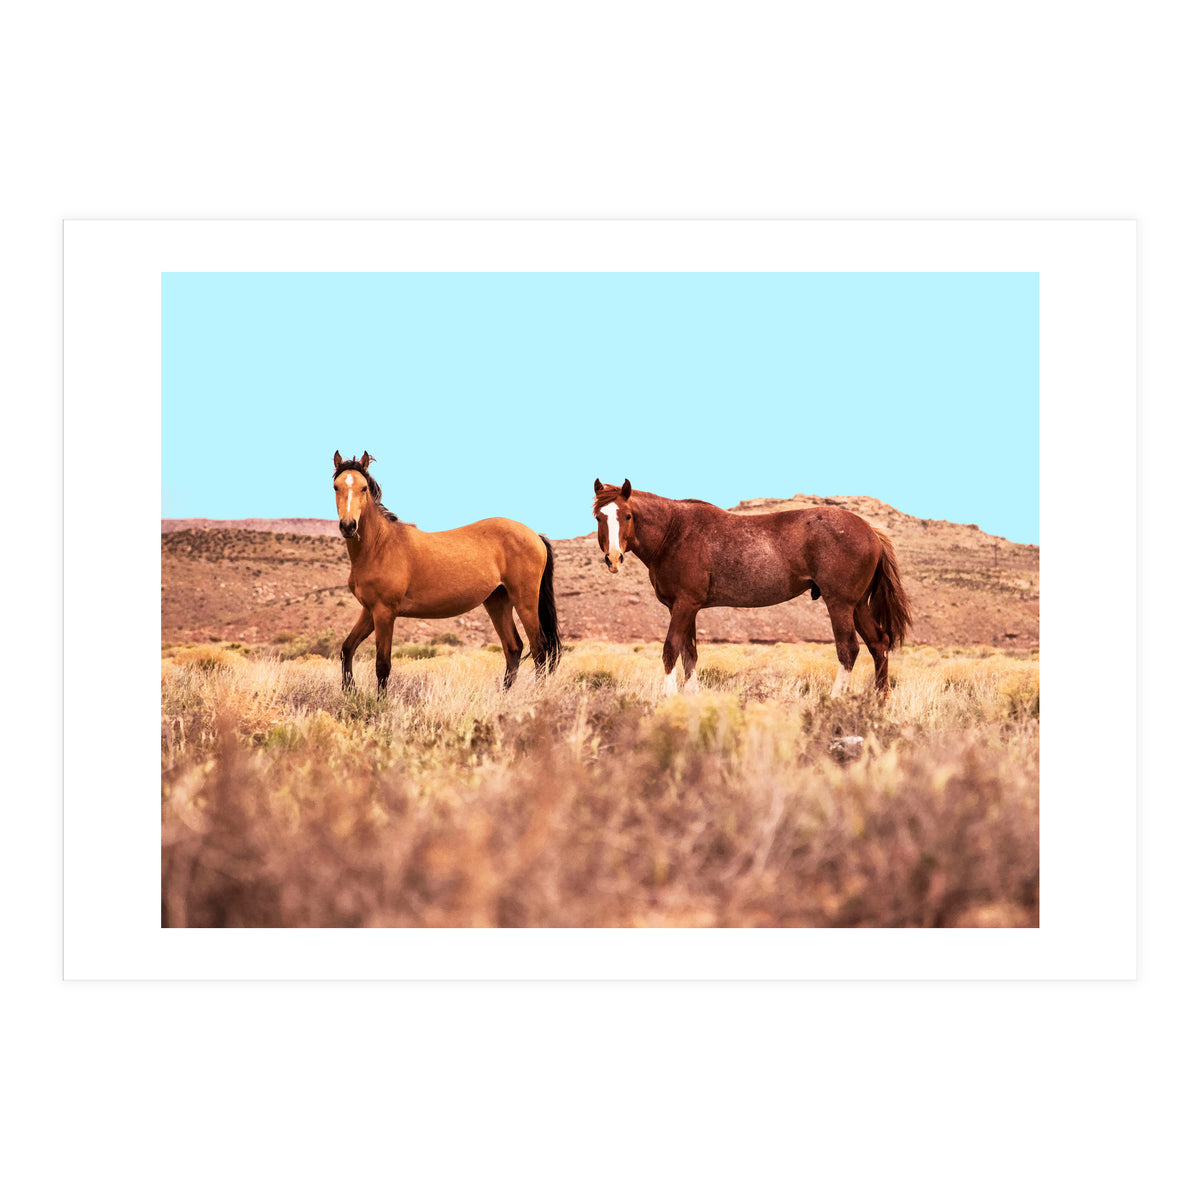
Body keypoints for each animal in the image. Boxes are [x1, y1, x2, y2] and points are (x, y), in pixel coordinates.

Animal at [332, 452, 561, 693]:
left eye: (364, 488)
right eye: (336, 487)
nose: (348, 526)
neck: (379, 546)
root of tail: (535, 535)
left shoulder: (384, 612)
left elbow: (382, 665)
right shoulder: (369, 611)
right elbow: (347, 648)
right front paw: (349, 690)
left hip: (525, 601)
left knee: (540, 649)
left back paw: (537, 695)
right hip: (497, 601)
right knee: (513, 647)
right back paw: (504, 696)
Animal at [592, 478, 912, 698]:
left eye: (627, 516)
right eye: (599, 517)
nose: (613, 558)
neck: (674, 532)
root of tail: (870, 531)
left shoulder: (684, 605)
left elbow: (671, 650)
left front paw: (669, 698)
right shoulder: (686, 608)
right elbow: (689, 654)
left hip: (840, 604)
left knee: (849, 650)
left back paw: (835, 700)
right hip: (857, 606)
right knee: (879, 644)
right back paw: (879, 701)